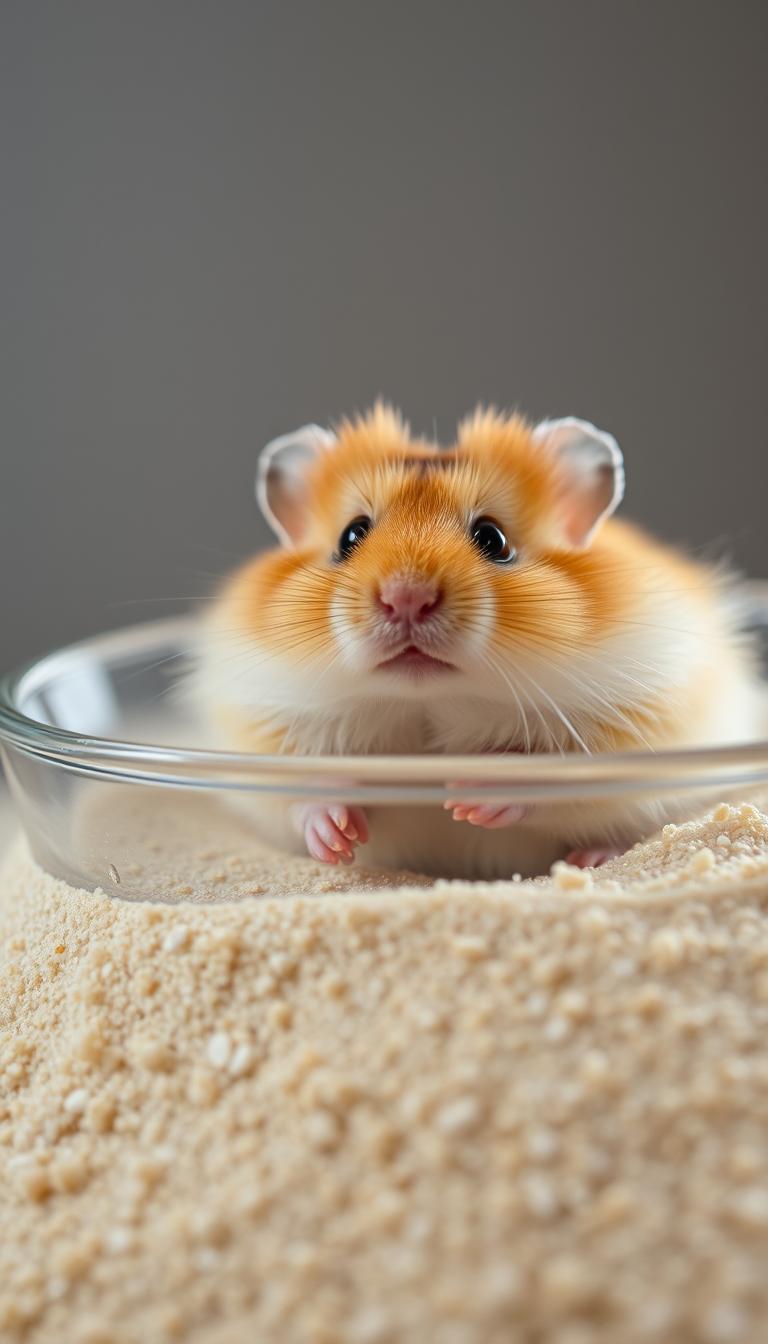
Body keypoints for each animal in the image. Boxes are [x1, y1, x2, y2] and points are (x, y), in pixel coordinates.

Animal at [189, 403, 763, 880]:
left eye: (493, 538)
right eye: (350, 535)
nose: (406, 598)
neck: (427, 704)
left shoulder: (641, 719)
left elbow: (543, 774)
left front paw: (465, 798)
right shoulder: (259, 730)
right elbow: (302, 794)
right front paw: (339, 838)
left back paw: (590, 857)